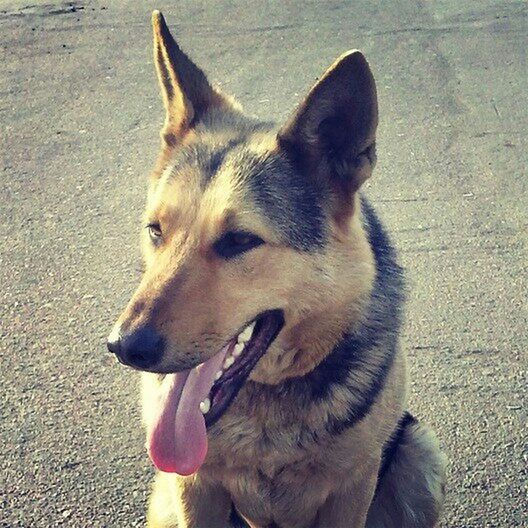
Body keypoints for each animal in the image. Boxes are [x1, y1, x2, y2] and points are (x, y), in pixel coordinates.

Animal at [106, 12, 446, 528]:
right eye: (155, 230)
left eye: (240, 241)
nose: (124, 347)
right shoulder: (192, 487)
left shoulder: (353, 489)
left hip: (420, 457)